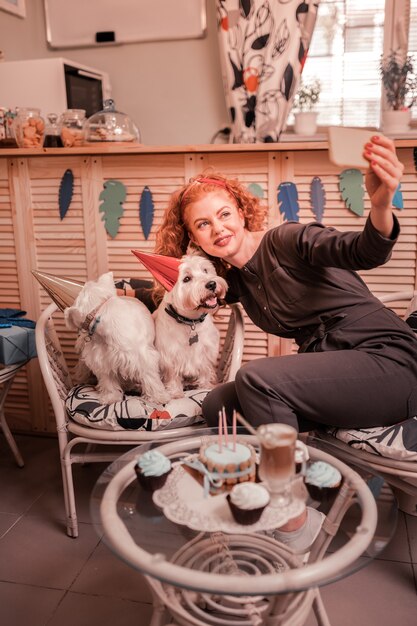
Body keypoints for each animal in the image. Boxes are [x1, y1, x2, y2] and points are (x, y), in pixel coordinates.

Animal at [65, 270, 169, 402]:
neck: (99, 314)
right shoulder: (102, 361)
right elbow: (108, 381)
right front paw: (111, 397)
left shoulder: (142, 358)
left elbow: (150, 377)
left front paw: (158, 397)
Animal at [153, 252, 228, 394]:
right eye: (187, 279)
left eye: (205, 270)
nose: (212, 284)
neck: (190, 320)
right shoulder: (169, 355)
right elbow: (172, 375)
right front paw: (175, 393)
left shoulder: (206, 350)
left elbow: (205, 370)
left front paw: (206, 387)